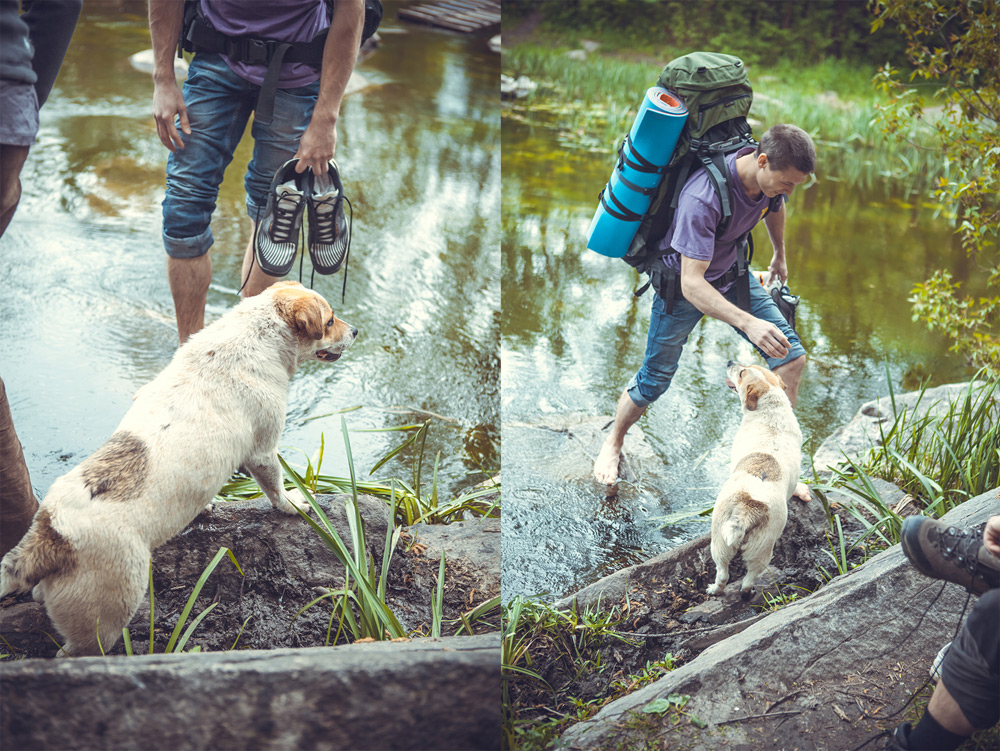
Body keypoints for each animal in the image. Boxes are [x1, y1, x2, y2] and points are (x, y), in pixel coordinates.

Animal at [0, 282, 360, 656]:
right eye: (330, 321)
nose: (356, 331)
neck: (255, 334)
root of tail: (52, 531)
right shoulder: (263, 450)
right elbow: (275, 485)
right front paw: (292, 503)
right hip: (107, 617)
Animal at [704, 364, 812, 600]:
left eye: (742, 373)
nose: (730, 361)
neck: (771, 410)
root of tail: (748, 506)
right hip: (751, 549)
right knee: (740, 575)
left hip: (726, 545)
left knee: (730, 575)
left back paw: (723, 590)